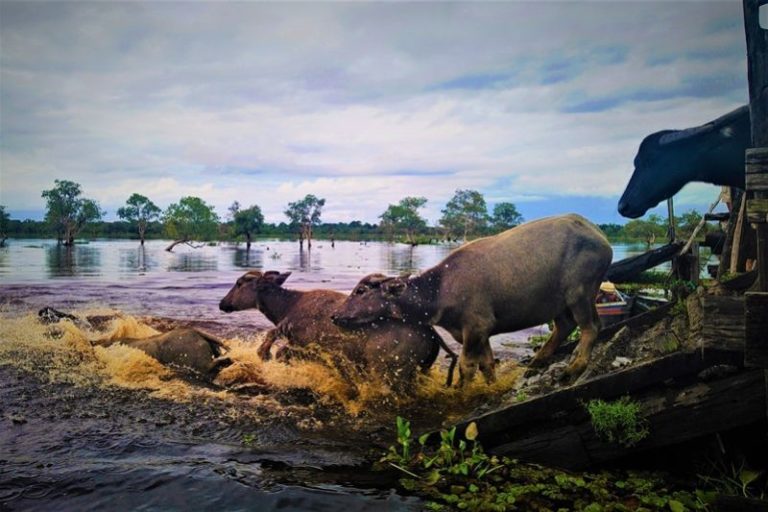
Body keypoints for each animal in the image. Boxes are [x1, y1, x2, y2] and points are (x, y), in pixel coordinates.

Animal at [218, 270, 450, 386]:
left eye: (240, 283)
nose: (222, 303)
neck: (286, 307)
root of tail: (432, 336)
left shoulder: (305, 345)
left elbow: (277, 349)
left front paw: (264, 353)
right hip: (421, 370)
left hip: (390, 371)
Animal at [332, 214, 616, 386]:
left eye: (360, 291)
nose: (336, 315)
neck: (439, 291)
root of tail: (599, 236)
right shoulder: (480, 333)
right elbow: (487, 365)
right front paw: (491, 388)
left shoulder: (476, 326)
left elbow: (467, 366)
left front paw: (460, 391)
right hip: (559, 302)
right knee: (565, 326)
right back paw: (536, 363)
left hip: (580, 293)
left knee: (591, 327)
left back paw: (573, 368)